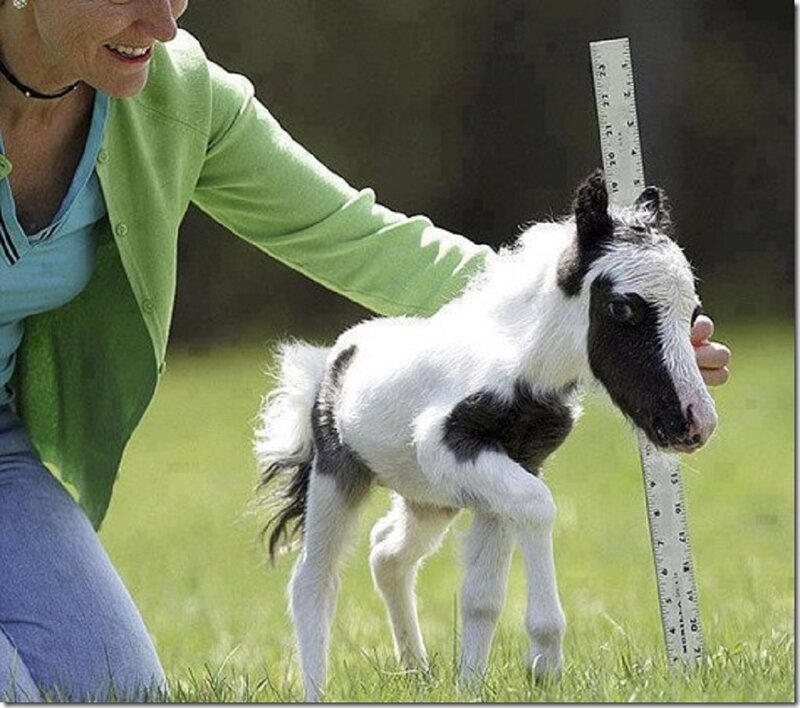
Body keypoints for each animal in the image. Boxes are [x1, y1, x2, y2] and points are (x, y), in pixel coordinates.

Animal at [254, 171, 717, 700]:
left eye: (692, 313)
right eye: (621, 308)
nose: (696, 422)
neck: (522, 365)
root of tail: (331, 359)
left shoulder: (510, 469)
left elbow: (482, 596)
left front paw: (471, 685)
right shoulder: (449, 447)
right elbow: (539, 507)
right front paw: (544, 660)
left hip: (430, 499)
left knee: (387, 553)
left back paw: (416, 669)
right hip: (338, 477)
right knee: (314, 578)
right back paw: (319, 688)